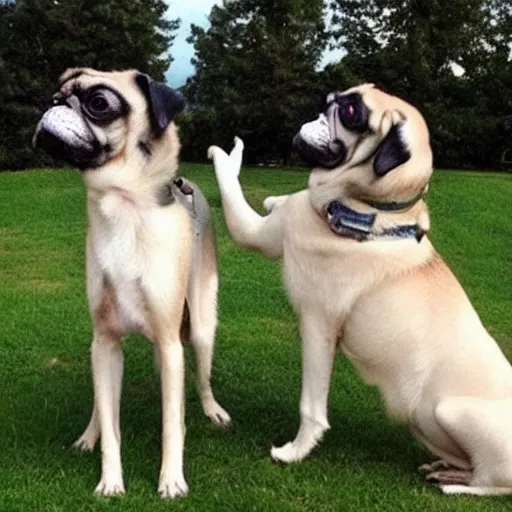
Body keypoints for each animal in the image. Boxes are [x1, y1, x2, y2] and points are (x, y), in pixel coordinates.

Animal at [33, 68, 230, 500]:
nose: (56, 103)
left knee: (201, 376)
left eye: (99, 103)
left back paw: (212, 410)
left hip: (201, 328)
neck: (123, 206)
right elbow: (111, 426)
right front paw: (110, 478)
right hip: (102, 352)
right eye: (56, 95)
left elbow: (172, 424)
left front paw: (171, 479)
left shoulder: (171, 343)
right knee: (101, 403)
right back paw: (88, 433)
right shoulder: (105, 342)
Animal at [207, 84, 512, 496]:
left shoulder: (317, 325)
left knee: (492, 483)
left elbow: (311, 406)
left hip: (451, 413)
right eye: (341, 99)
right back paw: (448, 468)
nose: (329, 98)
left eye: (352, 113)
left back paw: (456, 484)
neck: (365, 207)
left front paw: (295, 452)